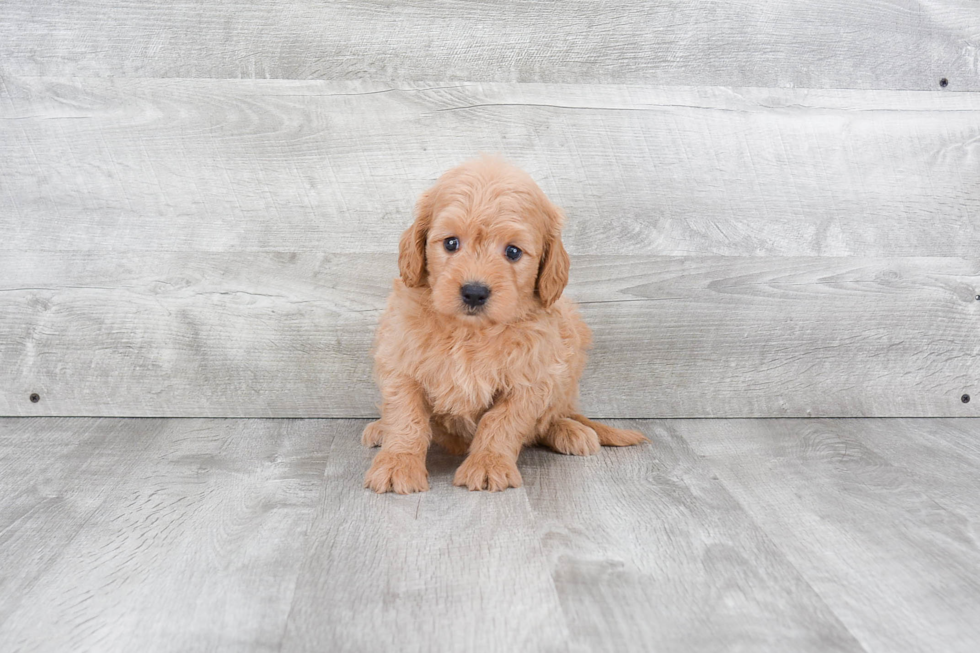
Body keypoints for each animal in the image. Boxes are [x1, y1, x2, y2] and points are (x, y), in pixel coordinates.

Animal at [360, 155, 644, 492]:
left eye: (512, 251)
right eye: (451, 243)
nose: (474, 292)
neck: (470, 331)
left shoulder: (531, 378)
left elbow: (501, 422)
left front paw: (488, 463)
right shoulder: (401, 362)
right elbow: (407, 417)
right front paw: (398, 463)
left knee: (556, 413)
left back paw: (569, 430)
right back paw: (380, 429)